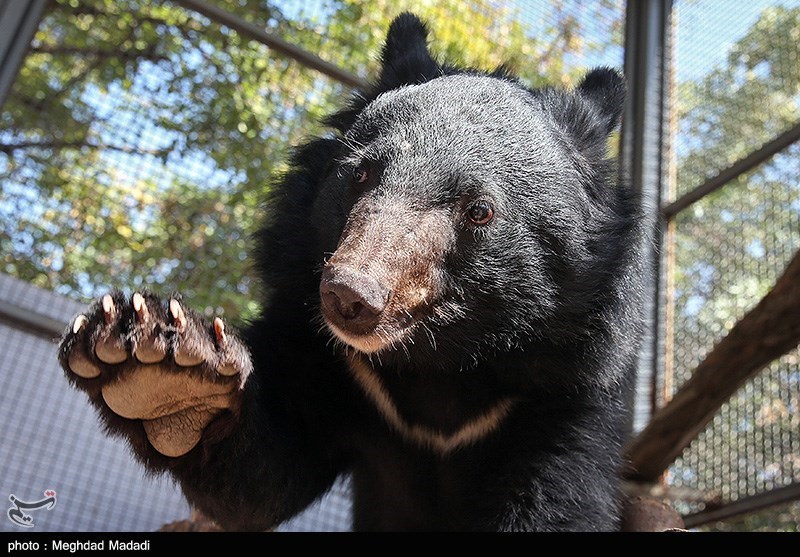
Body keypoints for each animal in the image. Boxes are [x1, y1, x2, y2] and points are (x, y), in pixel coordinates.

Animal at [57, 13, 644, 532]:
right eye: (361, 173)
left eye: (479, 210)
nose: (349, 296)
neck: (438, 362)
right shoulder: (333, 362)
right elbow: (262, 480)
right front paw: (158, 362)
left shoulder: (565, 390)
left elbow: (559, 502)